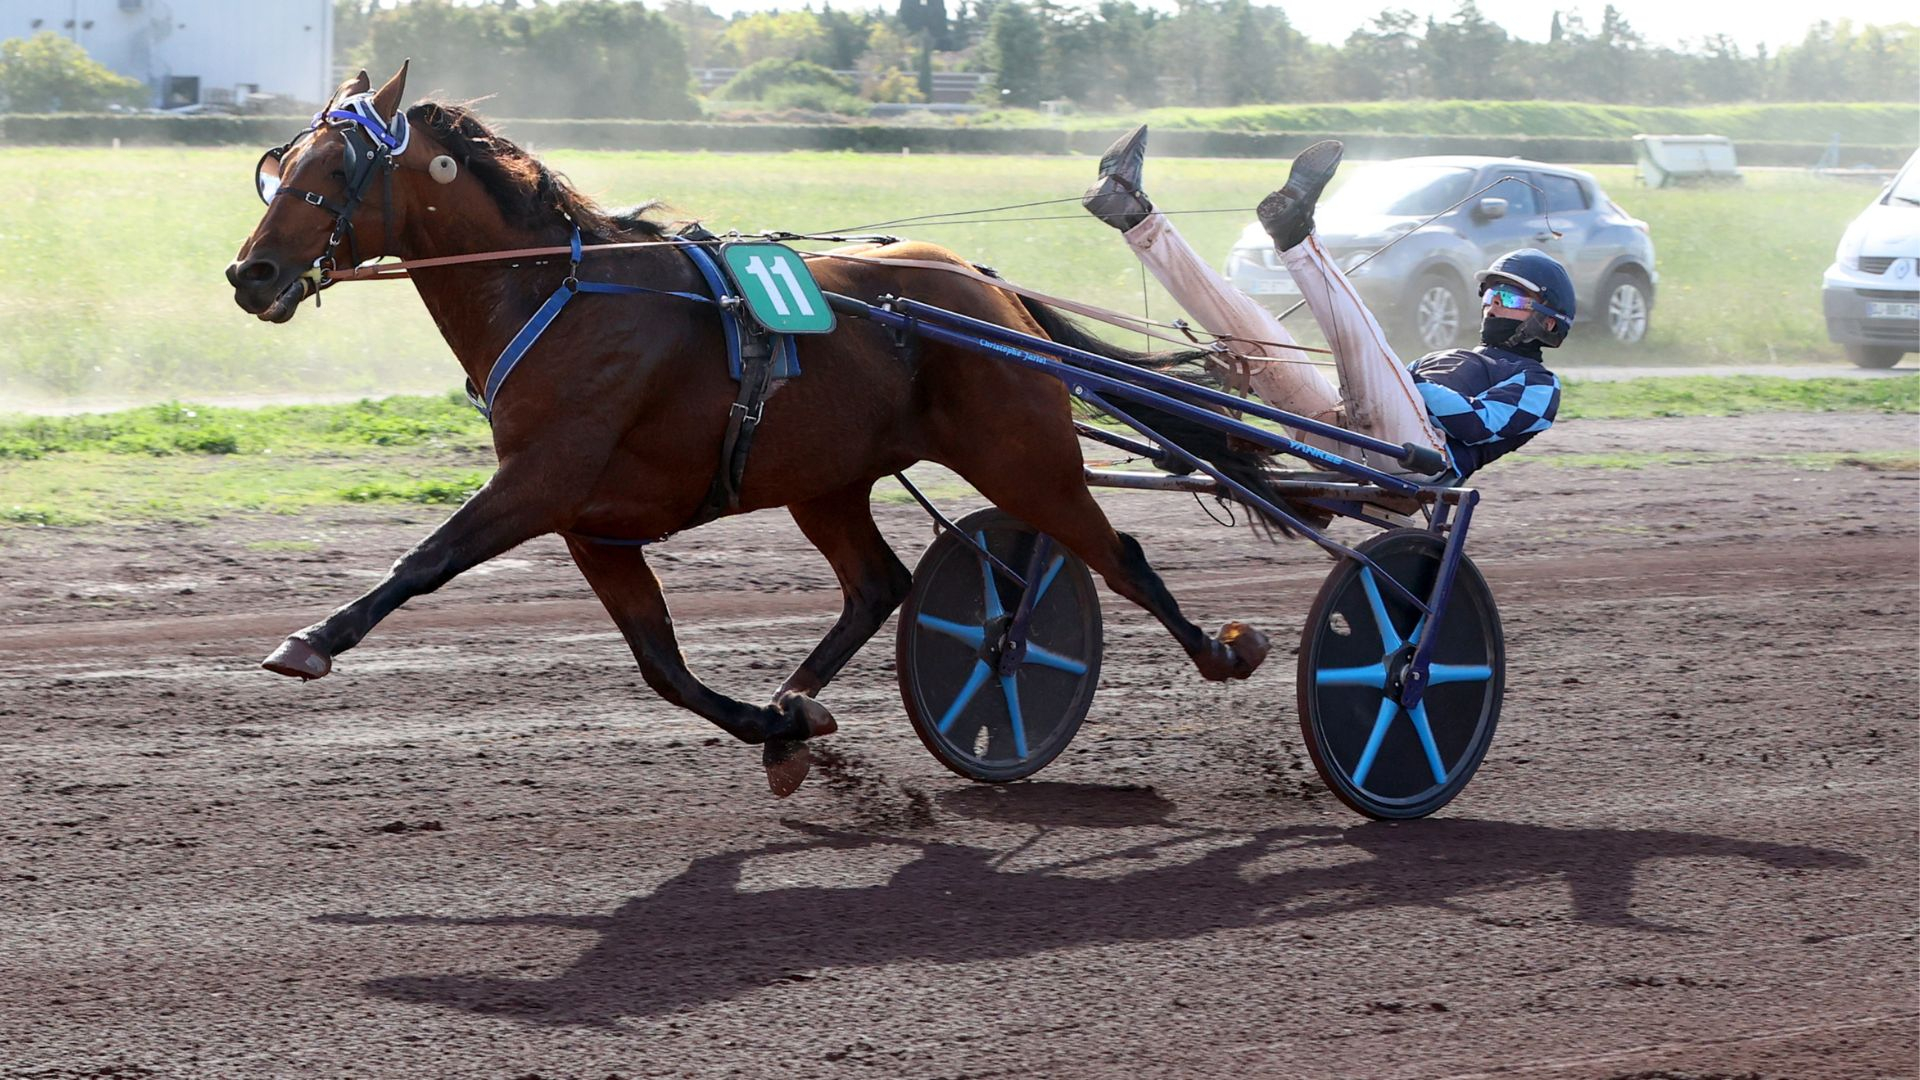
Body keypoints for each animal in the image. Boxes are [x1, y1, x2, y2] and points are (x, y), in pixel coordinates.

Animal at [227, 63, 1280, 797]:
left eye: (335, 168)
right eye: (280, 169)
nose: (251, 275)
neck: (564, 293)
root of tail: (985, 287)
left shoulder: (543, 479)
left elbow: (426, 559)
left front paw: (311, 639)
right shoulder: (593, 524)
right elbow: (662, 667)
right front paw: (781, 732)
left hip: (1023, 456)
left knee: (1117, 553)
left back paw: (1221, 650)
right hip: (828, 479)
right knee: (881, 584)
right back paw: (798, 698)